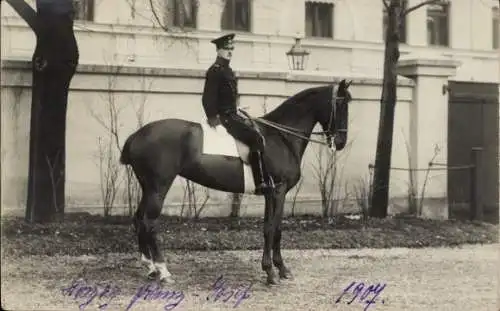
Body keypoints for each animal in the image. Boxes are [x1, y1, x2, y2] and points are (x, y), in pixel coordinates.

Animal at [119, 78, 352, 286]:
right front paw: (273, 271)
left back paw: (150, 267)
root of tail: (136, 135)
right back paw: (163, 271)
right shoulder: (279, 191)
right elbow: (274, 229)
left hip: (148, 187)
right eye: (340, 104)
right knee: (149, 223)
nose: (340, 142)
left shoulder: (270, 194)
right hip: (159, 187)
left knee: (139, 219)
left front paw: (276, 269)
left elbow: (270, 228)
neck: (281, 137)